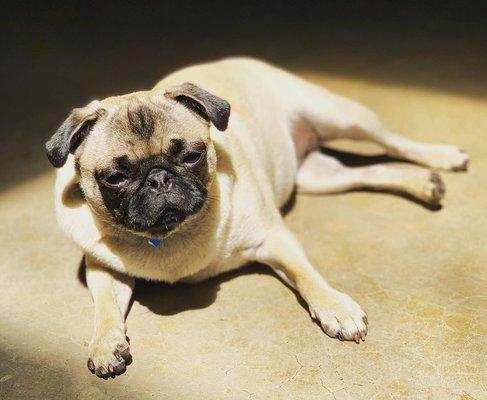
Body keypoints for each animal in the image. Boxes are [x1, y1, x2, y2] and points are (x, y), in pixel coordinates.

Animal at [45, 56, 468, 378]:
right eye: (115, 178)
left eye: (192, 156)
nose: (159, 178)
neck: (173, 235)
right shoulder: (102, 266)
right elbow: (104, 306)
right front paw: (104, 344)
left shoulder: (274, 238)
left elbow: (306, 276)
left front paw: (335, 308)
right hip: (320, 178)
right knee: (370, 172)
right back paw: (423, 184)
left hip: (344, 117)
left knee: (395, 143)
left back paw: (442, 158)